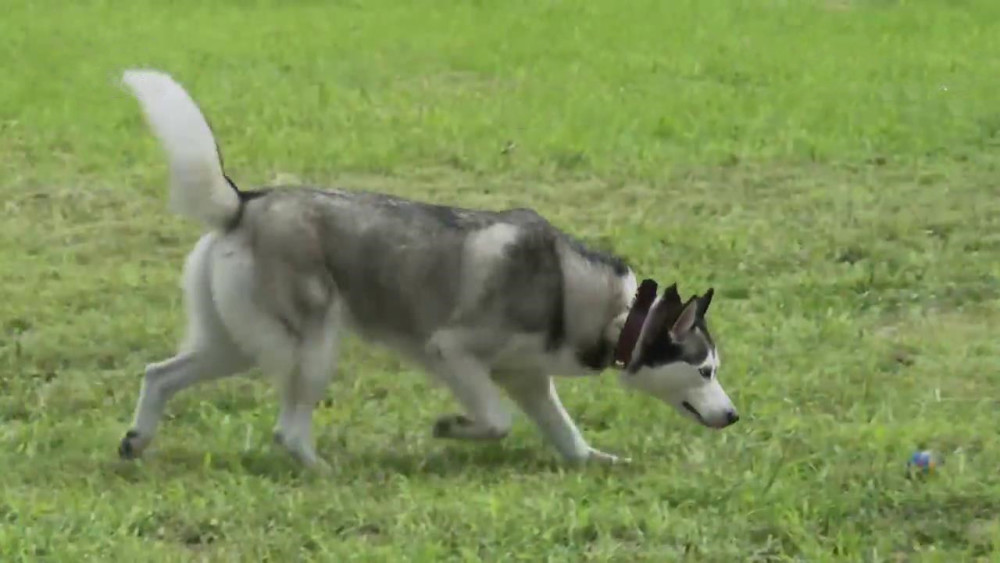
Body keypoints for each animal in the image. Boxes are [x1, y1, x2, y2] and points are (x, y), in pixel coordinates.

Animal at [117, 68, 740, 470]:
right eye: (705, 369)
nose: (733, 416)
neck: (610, 310)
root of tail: (245, 203)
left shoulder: (529, 378)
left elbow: (564, 431)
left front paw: (593, 460)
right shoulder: (452, 351)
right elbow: (496, 421)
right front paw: (452, 428)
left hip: (236, 344)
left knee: (159, 373)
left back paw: (136, 441)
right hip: (311, 346)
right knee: (286, 429)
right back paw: (321, 469)